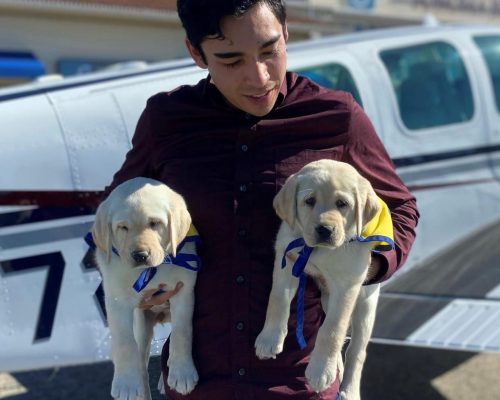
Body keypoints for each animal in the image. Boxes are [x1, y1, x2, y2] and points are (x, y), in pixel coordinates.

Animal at [91, 178, 200, 400]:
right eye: (123, 227)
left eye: (155, 223)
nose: (140, 255)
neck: (151, 271)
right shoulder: (117, 300)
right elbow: (124, 342)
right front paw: (126, 384)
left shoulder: (184, 290)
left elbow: (182, 331)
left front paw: (182, 371)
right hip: (141, 323)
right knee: (140, 360)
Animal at [256, 160, 392, 400]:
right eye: (309, 201)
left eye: (342, 204)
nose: (325, 230)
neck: (317, 250)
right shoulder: (286, 259)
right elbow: (277, 299)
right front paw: (269, 339)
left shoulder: (348, 285)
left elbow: (332, 330)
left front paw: (320, 370)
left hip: (366, 303)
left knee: (357, 351)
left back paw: (348, 390)